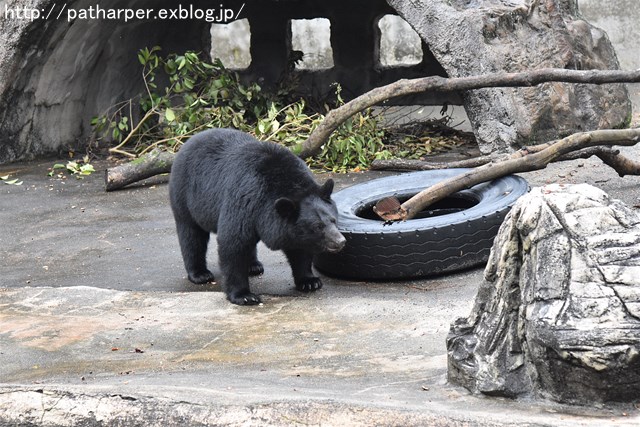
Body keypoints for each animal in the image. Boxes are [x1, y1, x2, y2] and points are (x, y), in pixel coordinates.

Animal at [169, 127, 344, 304]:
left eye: (333, 220)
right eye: (317, 226)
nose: (340, 241)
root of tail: (190, 140)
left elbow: (300, 249)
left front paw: (309, 281)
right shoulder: (245, 197)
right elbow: (234, 243)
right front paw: (244, 295)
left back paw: (253, 266)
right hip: (185, 195)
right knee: (191, 235)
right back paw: (200, 274)